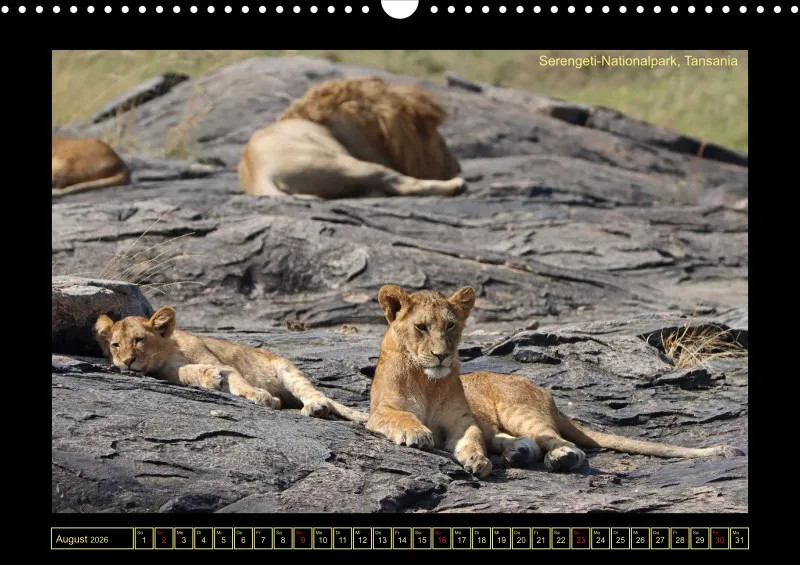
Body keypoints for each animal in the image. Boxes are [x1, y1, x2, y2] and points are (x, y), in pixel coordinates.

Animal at [93, 306, 369, 424]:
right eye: (115, 345)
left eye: (139, 340)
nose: (127, 362)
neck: (168, 350)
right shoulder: (168, 372)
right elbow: (186, 372)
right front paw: (209, 377)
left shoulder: (223, 364)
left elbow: (239, 381)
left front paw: (259, 396)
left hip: (288, 371)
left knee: (317, 394)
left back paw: (315, 407)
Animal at [237, 77, 467, 199]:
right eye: (435, 134)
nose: (457, 166)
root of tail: (260, 177)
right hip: (340, 163)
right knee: (397, 182)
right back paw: (457, 186)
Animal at [366, 284, 745, 477]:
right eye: (421, 327)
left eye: (450, 326)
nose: (442, 356)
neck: (427, 381)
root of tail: (547, 395)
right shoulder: (379, 411)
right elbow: (400, 416)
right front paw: (417, 433)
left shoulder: (462, 421)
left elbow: (470, 438)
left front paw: (476, 459)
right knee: (522, 441)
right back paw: (518, 453)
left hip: (520, 412)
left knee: (562, 443)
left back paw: (558, 458)